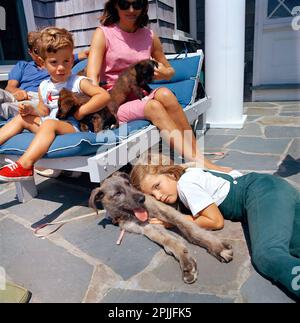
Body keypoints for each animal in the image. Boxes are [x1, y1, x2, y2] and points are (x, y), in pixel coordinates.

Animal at [89, 173, 234, 284]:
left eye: (128, 184)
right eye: (118, 193)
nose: (142, 198)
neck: (127, 215)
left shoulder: (167, 211)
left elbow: (191, 230)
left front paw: (218, 247)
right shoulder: (147, 228)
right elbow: (170, 241)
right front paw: (187, 263)